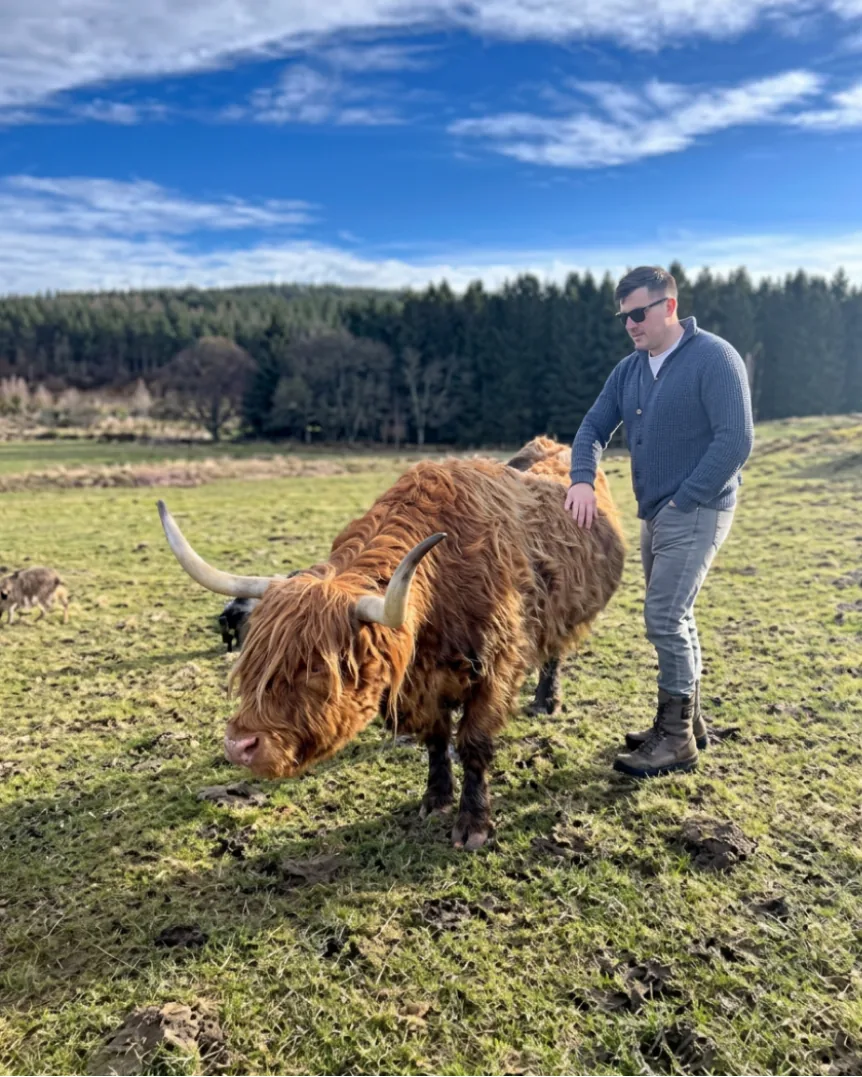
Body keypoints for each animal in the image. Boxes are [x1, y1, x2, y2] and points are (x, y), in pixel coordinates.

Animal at [156, 437, 625, 850]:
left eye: (318, 667)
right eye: (250, 657)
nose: (239, 746)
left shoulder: (495, 670)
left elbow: (473, 744)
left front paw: (473, 825)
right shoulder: (421, 685)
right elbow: (436, 739)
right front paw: (435, 799)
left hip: (563, 612)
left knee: (554, 652)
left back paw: (547, 701)